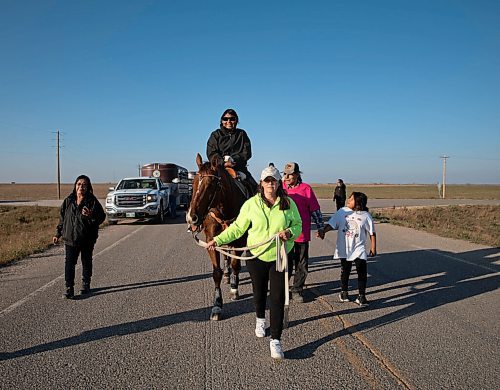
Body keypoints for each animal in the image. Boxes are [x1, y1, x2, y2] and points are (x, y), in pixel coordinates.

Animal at [186, 152, 250, 320]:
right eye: (194, 183)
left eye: (210, 185)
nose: (191, 218)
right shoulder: (211, 241)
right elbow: (216, 273)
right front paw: (217, 305)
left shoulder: (240, 241)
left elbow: (236, 265)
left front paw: (234, 289)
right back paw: (227, 275)